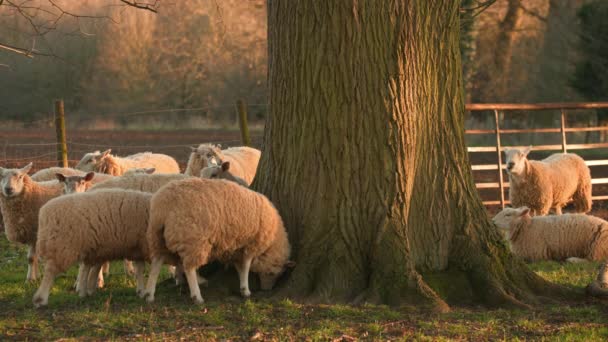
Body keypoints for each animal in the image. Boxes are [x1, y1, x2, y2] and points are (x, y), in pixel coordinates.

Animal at [144, 178, 294, 304]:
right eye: (272, 273)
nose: (266, 289)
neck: (273, 239)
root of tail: (163, 206)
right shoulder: (250, 245)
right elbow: (246, 266)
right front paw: (245, 289)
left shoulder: (235, 247)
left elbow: (239, 266)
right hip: (192, 238)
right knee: (189, 267)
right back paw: (197, 295)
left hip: (157, 236)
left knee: (157, 263)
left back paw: (150, 294)